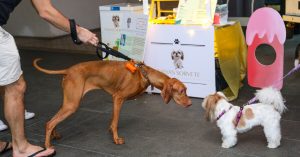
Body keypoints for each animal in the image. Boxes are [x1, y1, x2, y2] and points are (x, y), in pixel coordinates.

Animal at [32, 58, 192, 147]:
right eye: (181, 91)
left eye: (186, 89)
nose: (190, 104)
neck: (144, 74)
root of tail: (68, 70)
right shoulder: (118, 98)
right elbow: (115, 122)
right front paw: (116, 139)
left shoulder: (116, 100)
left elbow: (112, 121)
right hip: (72, 105)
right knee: (50, 123)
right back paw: (48, 146)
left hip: (69, 102)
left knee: (52, 120)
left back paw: (54, 135)